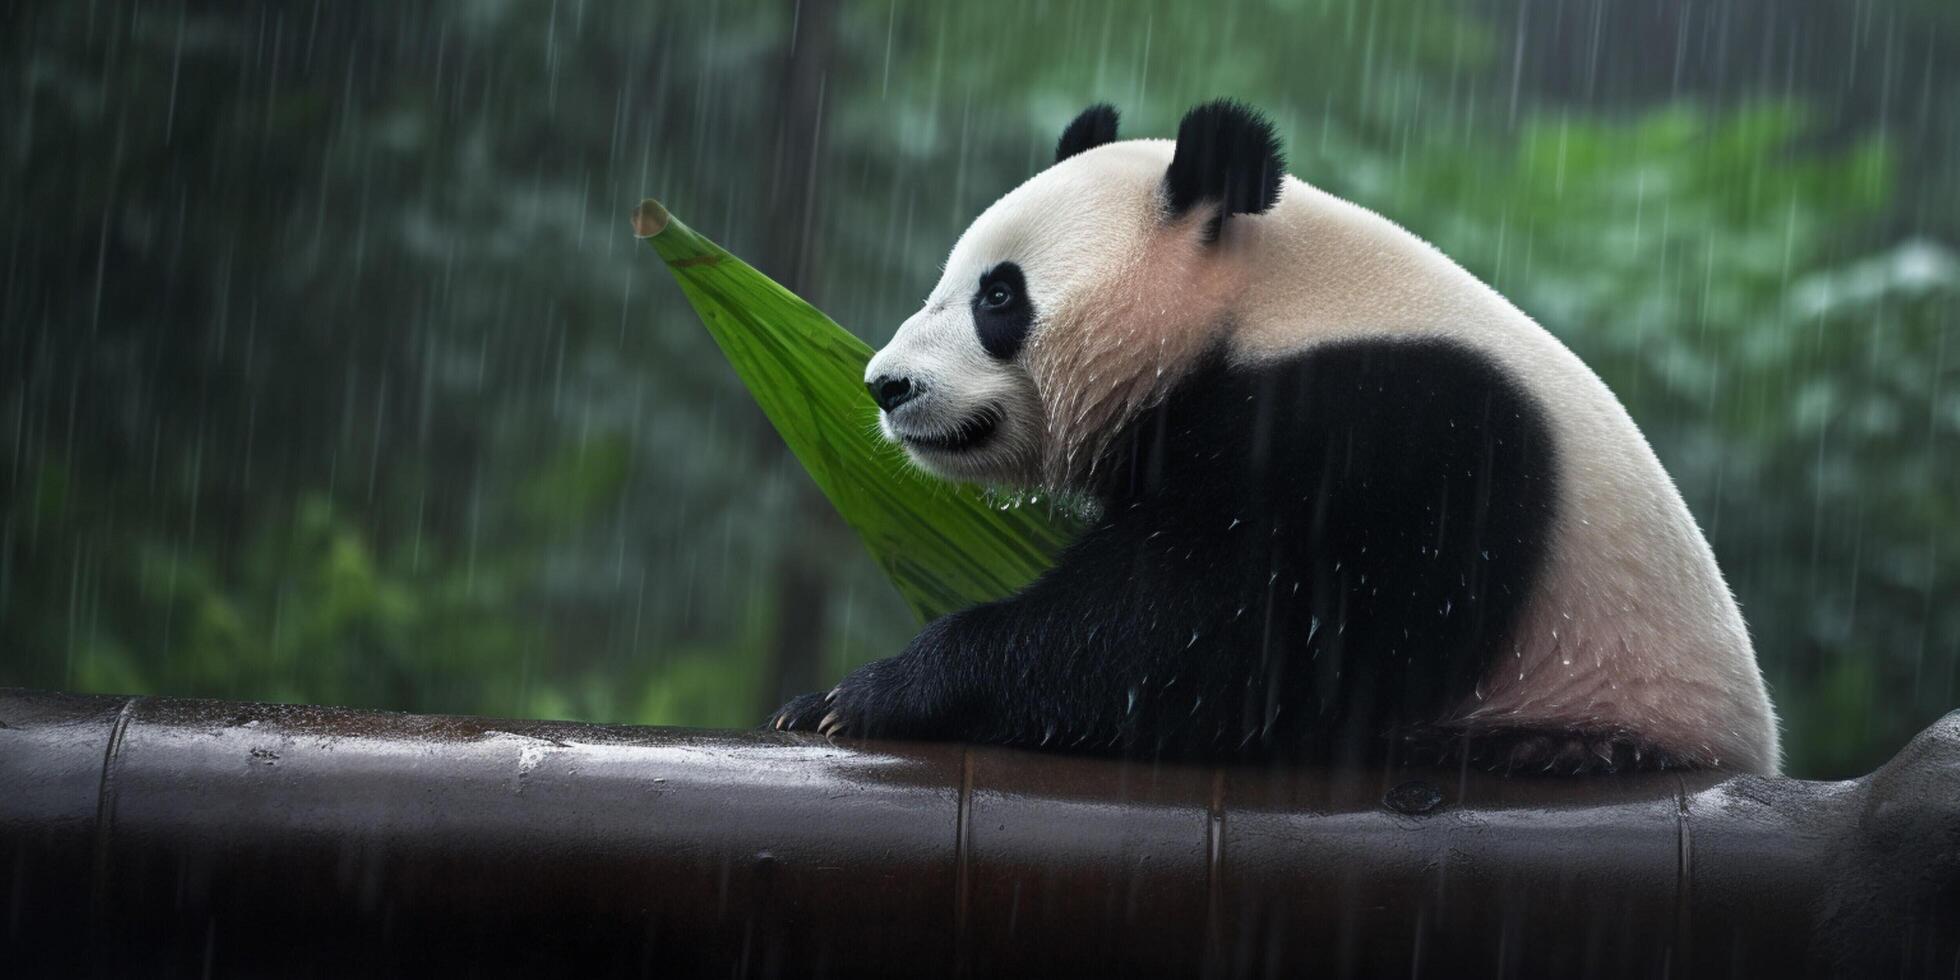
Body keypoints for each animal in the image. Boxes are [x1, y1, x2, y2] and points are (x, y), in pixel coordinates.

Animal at [772, 99, 1787, 772]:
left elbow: (1214, 632)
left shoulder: (1389, 422)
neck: (1258, 301)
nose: (888, 385)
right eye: (951, 281)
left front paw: (875, 693)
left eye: (999, 296)